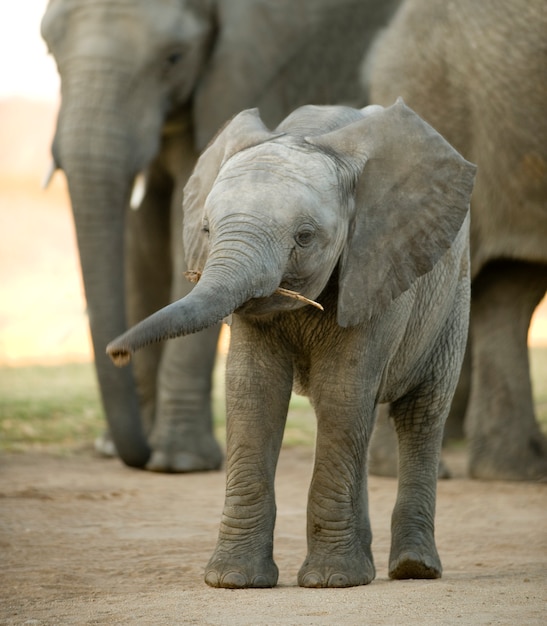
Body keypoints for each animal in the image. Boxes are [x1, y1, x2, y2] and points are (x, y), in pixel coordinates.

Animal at [38, 0, 398, 468]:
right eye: (49, 50)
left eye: (173, 58)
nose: (116, 353)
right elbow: (144, 231)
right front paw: (121, 450)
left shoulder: (262, 64)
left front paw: (177, 464)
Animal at [106, 100, 476, 588]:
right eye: (206, 230)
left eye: (304, 237)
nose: (116, 352)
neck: (310, 136)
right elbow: (254, 390)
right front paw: (234, 581)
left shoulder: (376, 266)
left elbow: (343, 388)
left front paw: (330, 581)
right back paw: (370, 567)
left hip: (452, 292)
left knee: (419, 413)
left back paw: (413, 569)